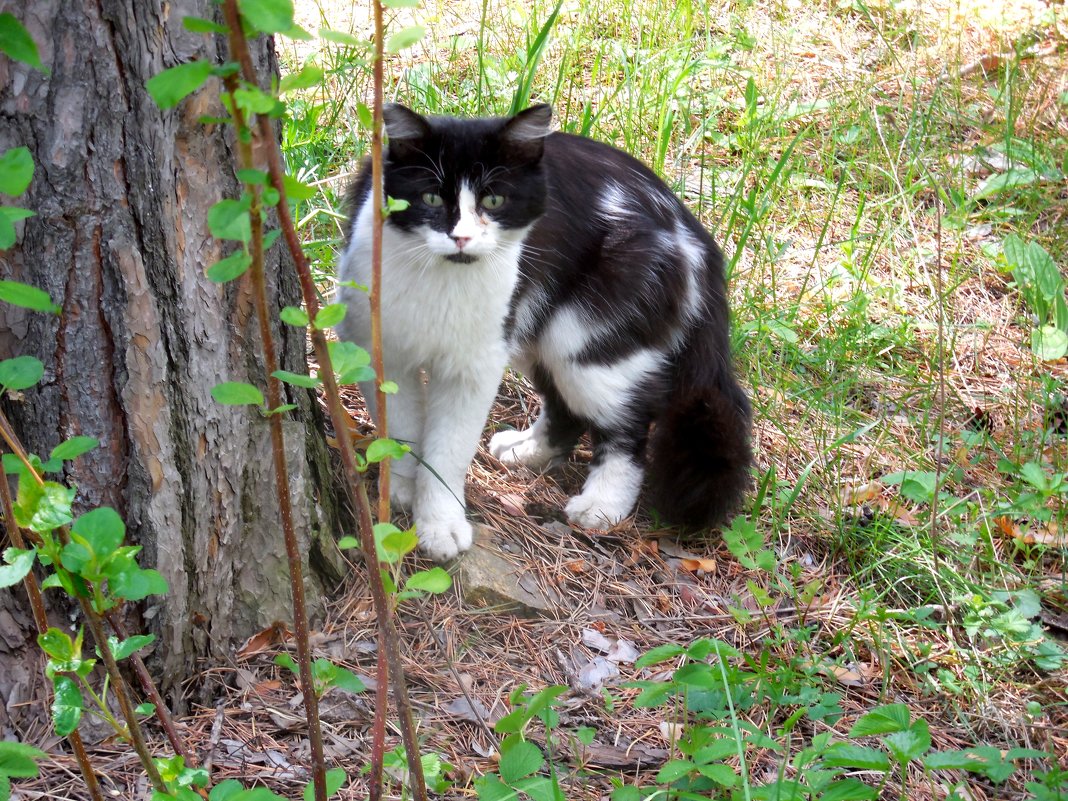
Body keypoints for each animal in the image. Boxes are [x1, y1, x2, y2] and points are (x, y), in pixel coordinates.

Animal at [335, 103, 751, 559]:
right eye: (429, 197)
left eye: (494, 200)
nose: (461, 238)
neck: (441, 282)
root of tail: (696, 237)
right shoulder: (380, 353)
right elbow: (402, 432)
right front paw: (403, 491)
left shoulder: (474, 366)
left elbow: (448, 451)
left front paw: (441, 523)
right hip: (541, 334)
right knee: (567, 409)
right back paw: (524, 451)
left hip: (585, 340)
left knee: (628, 424)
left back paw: (601, 505)